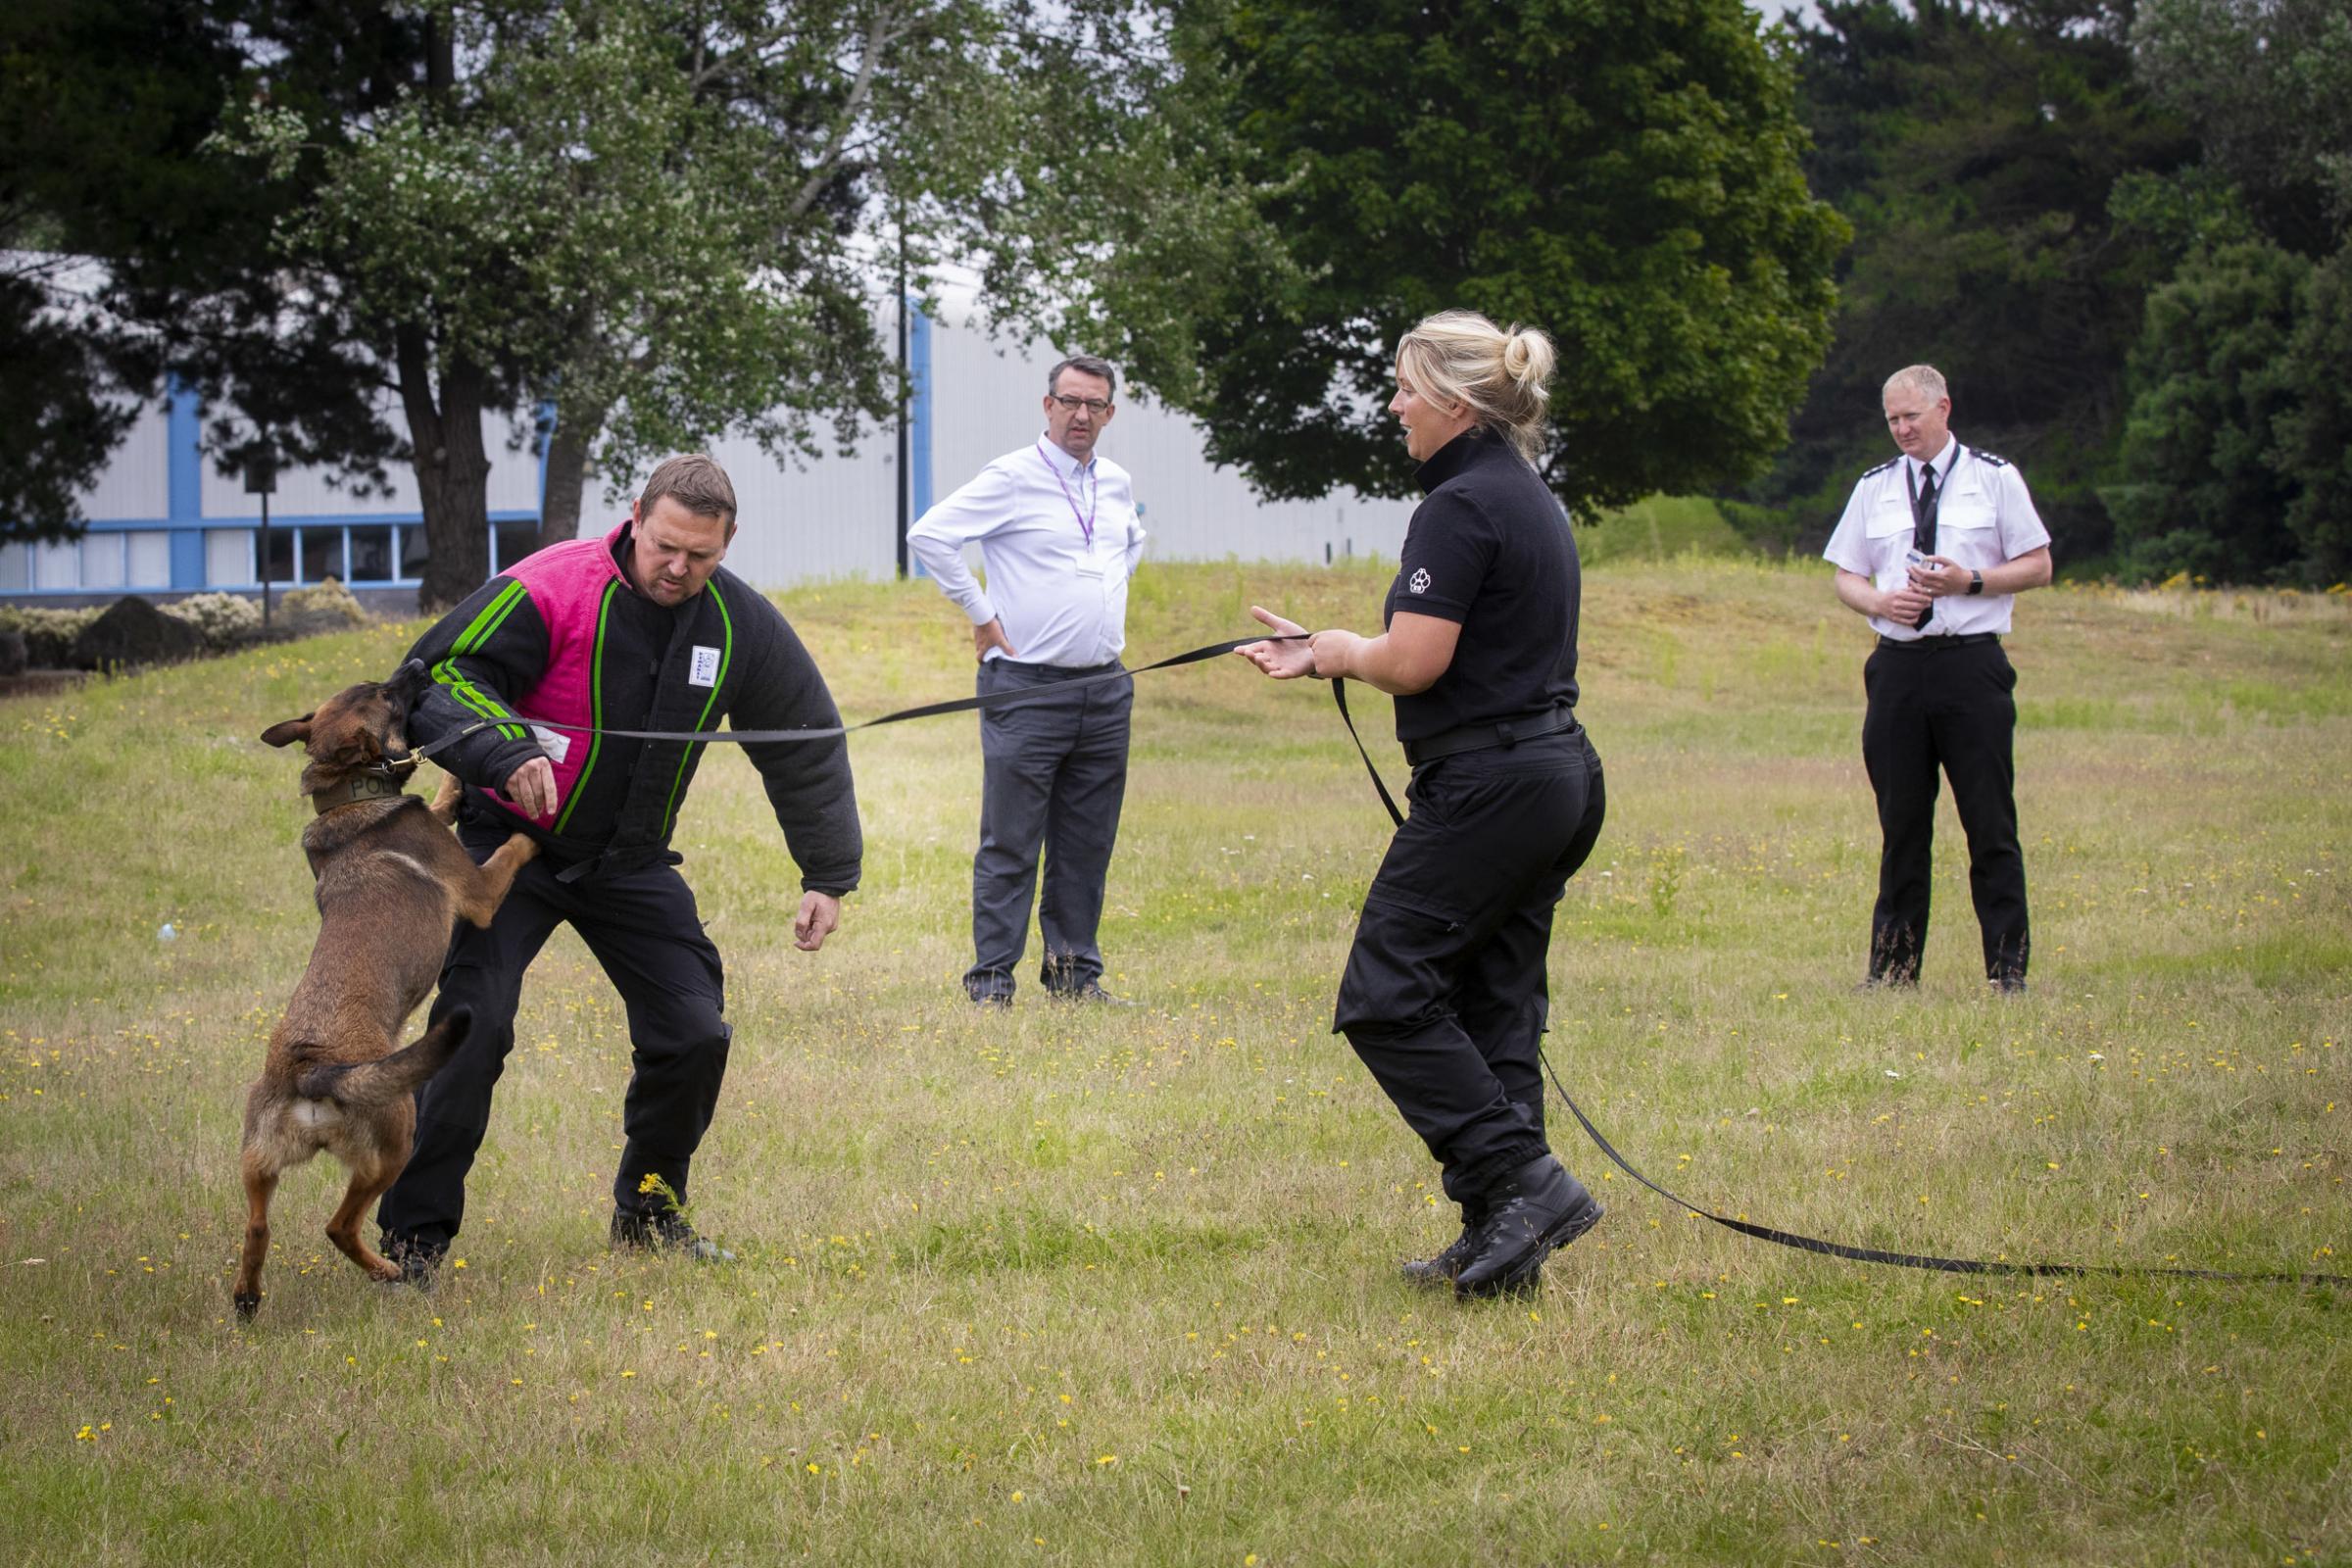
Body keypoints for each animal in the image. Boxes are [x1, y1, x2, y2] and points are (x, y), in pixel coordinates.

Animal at [235, 658, 538, 1316]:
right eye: (384, 693)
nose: (420, 664)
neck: (347, 793)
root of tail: (312, 1072)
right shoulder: (479, 892)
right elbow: (509, 852)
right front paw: (534, 829)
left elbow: (443, 797)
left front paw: (455, 785)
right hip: (396, 1140)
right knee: (338, 1226)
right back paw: (388, 1272)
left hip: (257, 1162)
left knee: (257, 1228)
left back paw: (247, 1298)